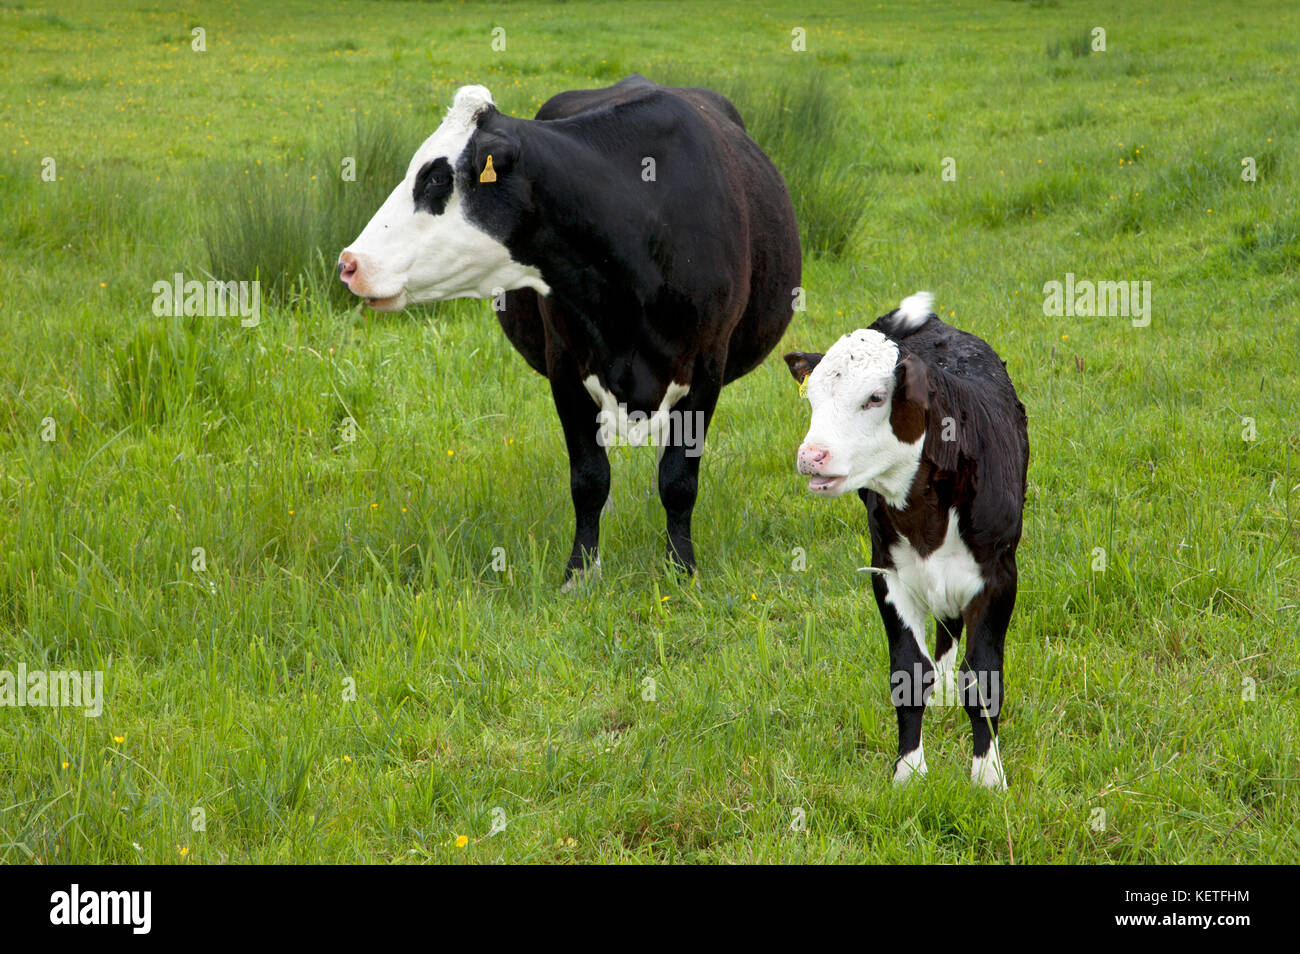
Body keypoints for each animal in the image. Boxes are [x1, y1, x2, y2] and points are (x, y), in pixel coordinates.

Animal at [339, 75, 801, 585]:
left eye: (437, 178)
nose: (349, 263)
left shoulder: (706, 369)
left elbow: (679, 480)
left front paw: (681, 570)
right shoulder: (564, 365)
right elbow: (589, 479)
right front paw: (580, 572)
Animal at [783, 292, 1029, 788]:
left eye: (875, 398)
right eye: (813, 399)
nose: (812, 456)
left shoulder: (998, 576)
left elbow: (984, 677)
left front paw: (988, 775)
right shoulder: (888, 574)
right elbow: (908, 673)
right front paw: (909, 773)